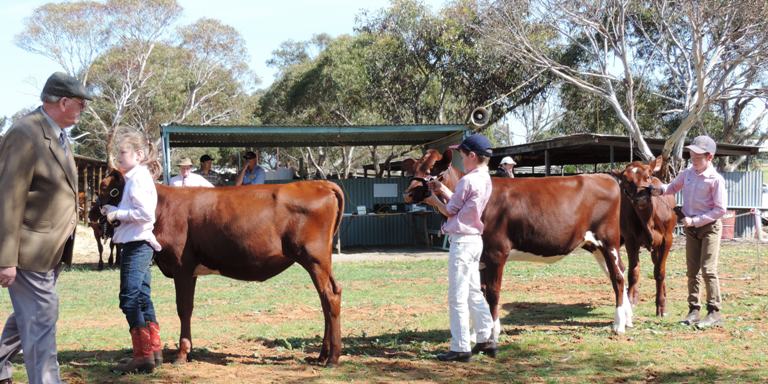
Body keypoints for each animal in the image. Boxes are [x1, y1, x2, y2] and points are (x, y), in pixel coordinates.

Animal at [97, 170, 344, 366]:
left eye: (110, 189)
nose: (92, 214)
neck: (164, 207)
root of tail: (320, 183)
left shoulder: (181, 267)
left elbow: (183, 308)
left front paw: (182, 354)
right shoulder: (190, 272)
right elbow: (188, 308)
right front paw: (187, 351)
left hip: (314, 258)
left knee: (329, 297)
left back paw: (332, 358)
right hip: (322, 261)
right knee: (331, 295)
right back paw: (323, 355)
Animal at [402, 150, 632, 336]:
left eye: (433, 169)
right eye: (415, 168)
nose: (408, 193)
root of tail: (605, 176)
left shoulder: (496, 253)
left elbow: (493, 292)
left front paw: (492, 331)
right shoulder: (482, 257)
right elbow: (482, 292)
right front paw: (478, 332)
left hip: (608, 240)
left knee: (618, 278)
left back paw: (619, 325)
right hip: (594, 245)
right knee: (618, 272)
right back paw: (628, 318)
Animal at [616, 160, 680, 316]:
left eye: (648, 176)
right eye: (626, 181)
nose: (642, 198)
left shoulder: (667, 240)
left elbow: (660, 272)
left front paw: (661, 305)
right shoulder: (630, 240)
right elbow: (633, 272)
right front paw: (630, 301)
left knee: (658, 266)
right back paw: (633, 296)